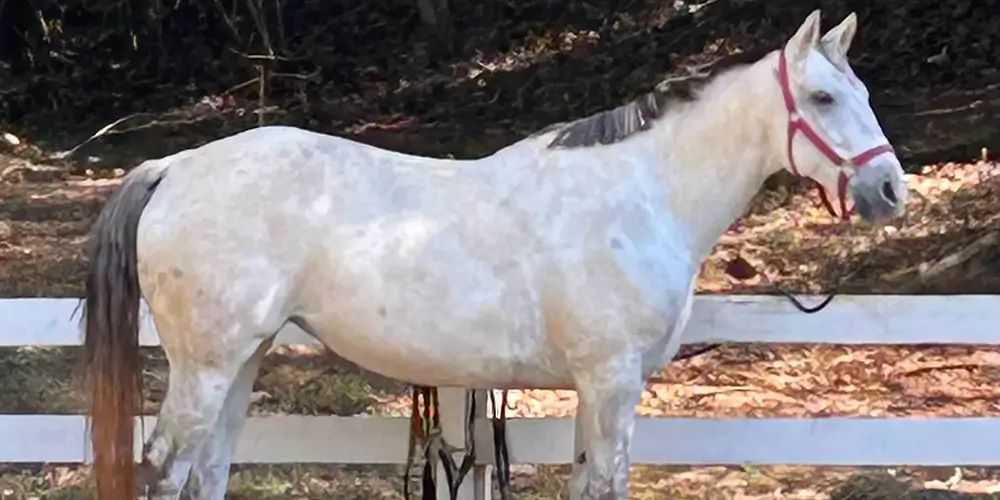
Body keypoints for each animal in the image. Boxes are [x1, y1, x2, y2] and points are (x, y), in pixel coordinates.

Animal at [81, 9, 908, 499]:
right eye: (825, 98)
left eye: (864, 91)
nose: (891, 188)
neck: (642, 192)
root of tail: (177, 166)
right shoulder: (611, 382)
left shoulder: (594, 389)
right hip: (206, 366)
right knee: (164, 470)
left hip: (242, 358)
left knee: (206, 470)